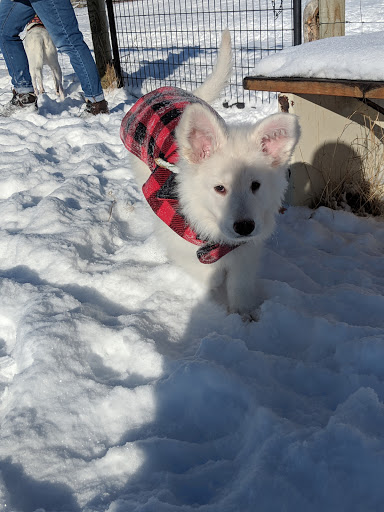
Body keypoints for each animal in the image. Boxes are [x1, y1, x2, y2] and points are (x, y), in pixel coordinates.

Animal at [120, 30, 300, 318]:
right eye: (220, 188)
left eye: (256, 185)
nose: (244, 227)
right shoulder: (181, 240)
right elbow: (207, 274)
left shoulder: (246, 249)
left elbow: (240, 281)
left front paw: (243, 313)